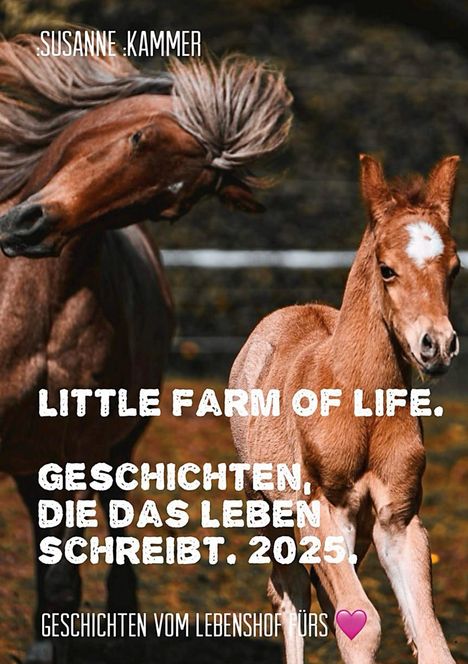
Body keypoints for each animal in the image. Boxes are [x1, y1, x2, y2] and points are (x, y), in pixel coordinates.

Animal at [0, 33, 292, 663]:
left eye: (167, 206)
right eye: (138, 138)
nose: (29, 228)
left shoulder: (64, 448)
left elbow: (62, 577)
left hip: (109, 447)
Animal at [229, 154, 460, 664]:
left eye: (454, 268)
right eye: (387, 269)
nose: (437, 345)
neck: (362, 406)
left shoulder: (397, 521)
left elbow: (430, 637)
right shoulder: (319, 507)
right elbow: (361, 622)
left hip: (360, 531)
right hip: (268, 505)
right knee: (290, 590)